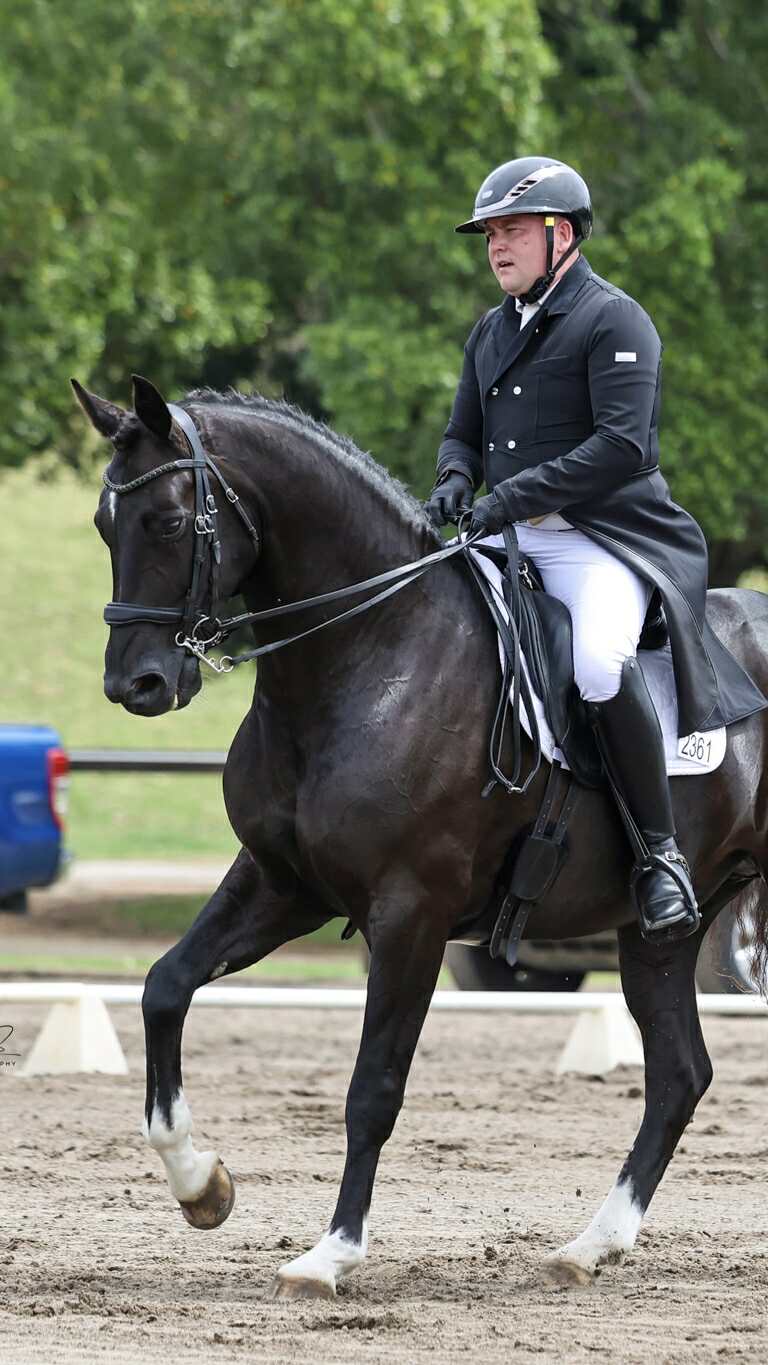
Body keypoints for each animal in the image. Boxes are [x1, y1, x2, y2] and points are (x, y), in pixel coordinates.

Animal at [73, 373, 768, 1298]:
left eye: (169, 520)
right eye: (103, 523)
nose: (136, 684)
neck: (371, 652)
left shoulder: (411, 911)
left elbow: (374, 1086)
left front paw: (331, 1253)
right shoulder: (281, 882)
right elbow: (164, 986)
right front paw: (201, 1184)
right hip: (658, 932)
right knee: (680, 1073)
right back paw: (591, 1245)